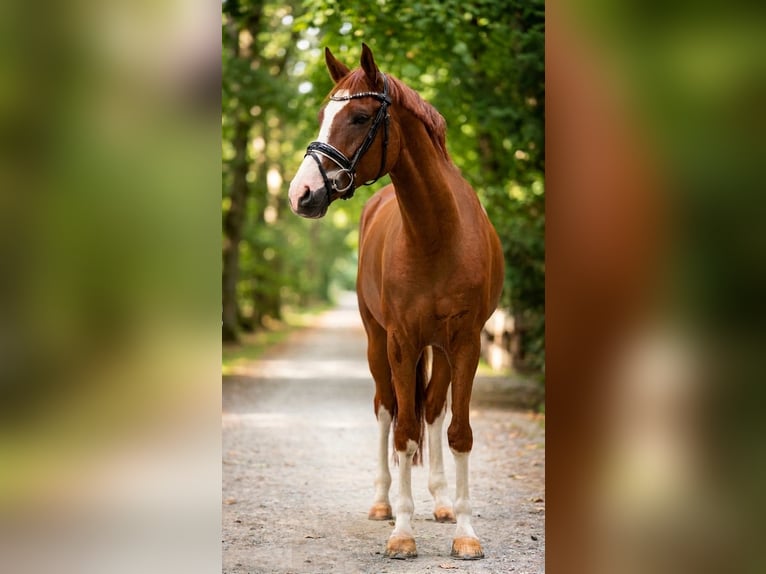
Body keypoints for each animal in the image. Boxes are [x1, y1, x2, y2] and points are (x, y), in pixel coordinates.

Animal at [288, 44, 504, 560]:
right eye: (323, 114)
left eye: (360, 116)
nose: (301, 194)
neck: (436, 233)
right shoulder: (401, 342)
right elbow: (403, 432)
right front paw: (402, 532)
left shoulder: (467, 343)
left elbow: (458, 431)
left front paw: (465, 532)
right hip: (377, 341)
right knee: (388, 409)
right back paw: (383, 503)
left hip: (440, 350)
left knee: (433, 409)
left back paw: (442, 502)